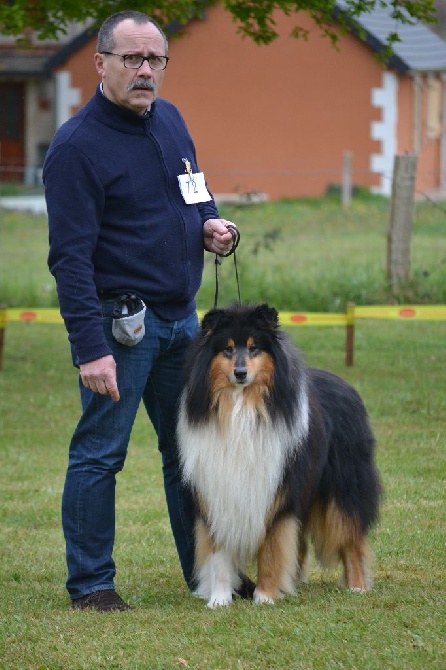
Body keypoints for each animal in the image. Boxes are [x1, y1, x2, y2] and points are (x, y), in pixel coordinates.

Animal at [177, 304, 380, 608]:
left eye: (254, 348)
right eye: (227, 349)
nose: (240, 373)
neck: (241, 406)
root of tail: (346, 386)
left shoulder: (277, 492)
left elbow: (271, 550)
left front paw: (265, 597)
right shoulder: (219, 492)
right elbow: (219, 553)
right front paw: (219, 599)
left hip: (342, 490)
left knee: (351, 538)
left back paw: (357, 587)